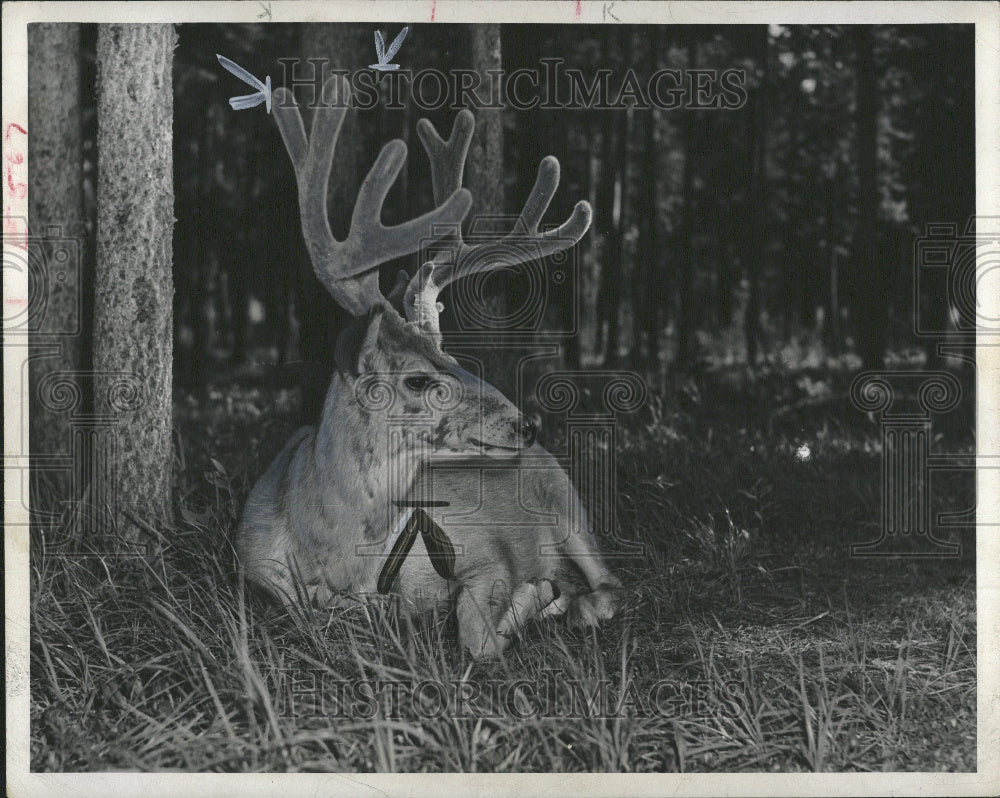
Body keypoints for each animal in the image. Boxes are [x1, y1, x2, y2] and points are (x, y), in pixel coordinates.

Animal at [237, 76, 620, 664]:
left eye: (456, 358)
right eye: (419, 378)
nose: (527, 424)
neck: (334, 553)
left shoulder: (483, 551)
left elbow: (476, 631)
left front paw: (531, 598)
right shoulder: (257, 572)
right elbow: (321, 610)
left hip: (569, 501)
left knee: (612, 586)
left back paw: (571, 603)